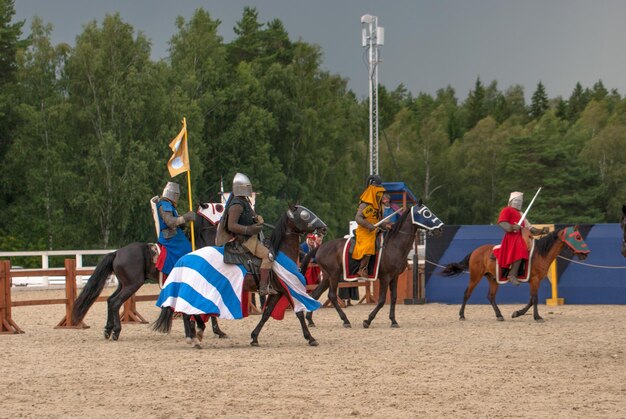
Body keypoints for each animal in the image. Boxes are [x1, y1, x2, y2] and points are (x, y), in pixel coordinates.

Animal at [70, 203, 224, 342]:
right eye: (219, 209)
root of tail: (117, 252)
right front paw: (212, 331)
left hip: (123, 284)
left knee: (109, 300)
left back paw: (108, 329)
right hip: (132, 284)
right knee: (115, 302)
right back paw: (116, 331)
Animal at [151, 206, 326, 348]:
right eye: (304, 215)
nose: (323, 228)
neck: (279, 253)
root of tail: (183, 259)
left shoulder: (277, 291)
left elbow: (267, 313)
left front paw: (254, 337)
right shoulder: (287, 287)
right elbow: (299, 312)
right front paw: (310, 338)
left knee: (188, 312)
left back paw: (195, 335)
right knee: (189, 311)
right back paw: (196, 335)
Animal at [302, 202, 438, 330]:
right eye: (426, 213)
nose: (440, 227)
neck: (393, 245)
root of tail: (320, 247)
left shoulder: (394, 277)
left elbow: (393, 298)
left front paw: (393, 321)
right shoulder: (385, 277)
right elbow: (382, 300)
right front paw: (368, 320)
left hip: (327, 277)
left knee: (315, 294)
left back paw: (310, 320)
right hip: (334, 275)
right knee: (332, 296)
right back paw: (345, 320)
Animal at [436, 226, 588, 322]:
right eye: (578, 237)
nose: (586, 253)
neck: (540, 254)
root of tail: (476, 251)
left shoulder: (535, 282)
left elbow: (531, 300)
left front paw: (517, 313)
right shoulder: (534, 280)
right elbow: (535, 299)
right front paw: (537, 317)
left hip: (493, 279)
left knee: (490, 296)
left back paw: (499, 315)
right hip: (475, 276)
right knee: (467, 293)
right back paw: (462, 315)